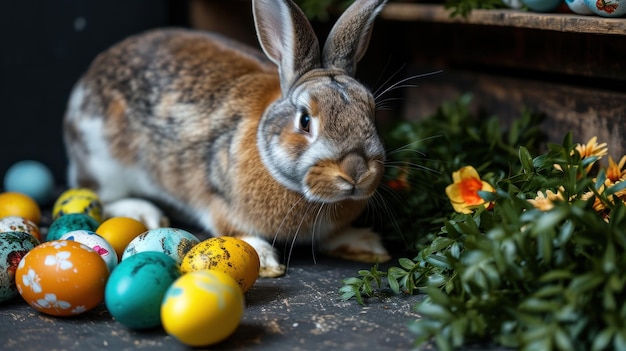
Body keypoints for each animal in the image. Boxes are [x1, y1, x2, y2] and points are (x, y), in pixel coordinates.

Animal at [62, 0, 386, 278]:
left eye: (371, 110)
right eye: (305, 121)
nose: (356, 171)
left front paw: (368, 244)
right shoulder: (216, 200)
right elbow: (233, 227)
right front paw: (264, 259)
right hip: (104, 162)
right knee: (98, 194)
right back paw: (145, 212)